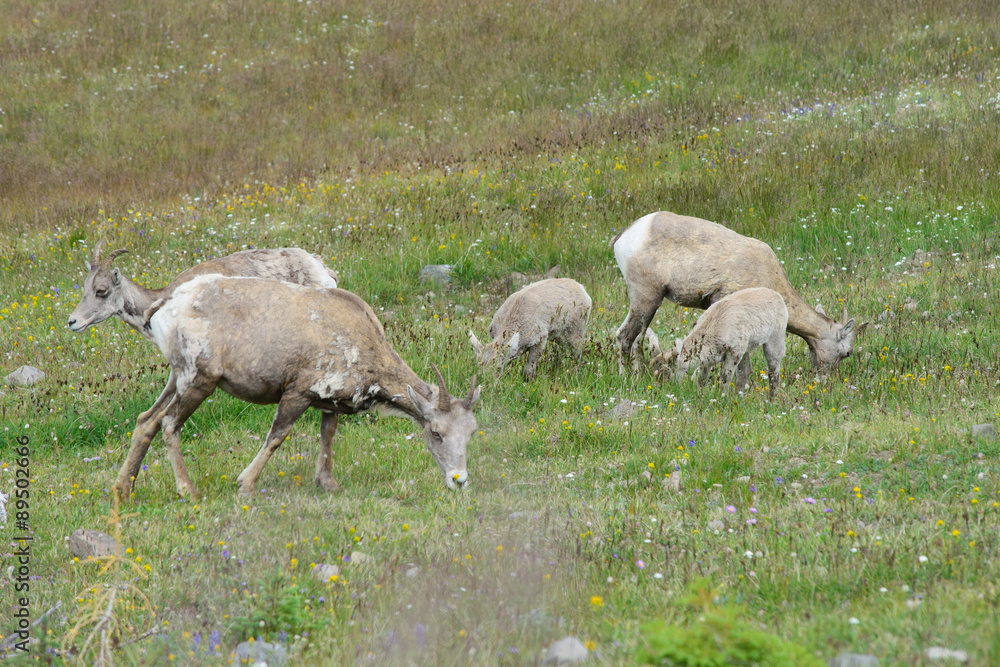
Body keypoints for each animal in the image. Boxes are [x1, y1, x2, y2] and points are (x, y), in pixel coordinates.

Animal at [113, 275, 480, 502]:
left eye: (472, 432)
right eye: (436, 432)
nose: (459, 480)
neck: (364, 348)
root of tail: (164, 307)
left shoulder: (330, 402)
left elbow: (327, 435)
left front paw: (327, 483)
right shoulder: (298, 392)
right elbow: (277, 436)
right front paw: (245, 485)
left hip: (176, 377)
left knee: (146, 420)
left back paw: (122, 489)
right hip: (199, 379)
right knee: (168, 422)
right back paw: (187, 491)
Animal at [611, 211, 866, 376]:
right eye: (847, 353)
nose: (828, 381)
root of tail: (625, 236)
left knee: (636, 341)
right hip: (646, 299)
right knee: (624, 337)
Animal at [647, 287, 788, 395]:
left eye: (665, 373)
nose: (657, 391)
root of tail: (777, 295)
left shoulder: (734, 352)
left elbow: (725, 377)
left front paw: (722, 397)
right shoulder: (708, 359)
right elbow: (702, 379)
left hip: (776, 338)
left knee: (773, 371)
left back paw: (771, 398)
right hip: (746, 348)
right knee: (745, 372)